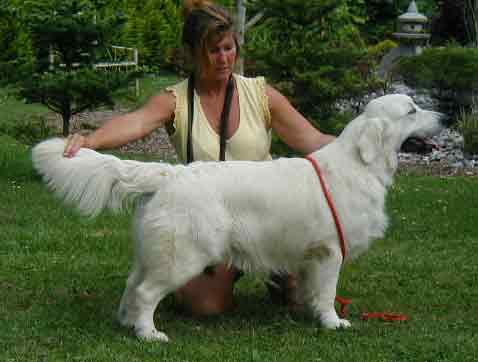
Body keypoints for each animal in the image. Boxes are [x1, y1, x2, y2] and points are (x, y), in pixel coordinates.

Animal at [31, 94, 446, 342]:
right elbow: (328, 293)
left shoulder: (311, 257)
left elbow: (312, 291)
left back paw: (128, 323)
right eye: (412, 110)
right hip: (184, 256)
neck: (360, 164)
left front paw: (312, 314)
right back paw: (149, 334)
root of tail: (169, 173)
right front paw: (333, 322)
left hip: (154, 251)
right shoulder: (330, 250)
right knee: (147, 292)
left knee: (133, 286)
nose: (444, 116)